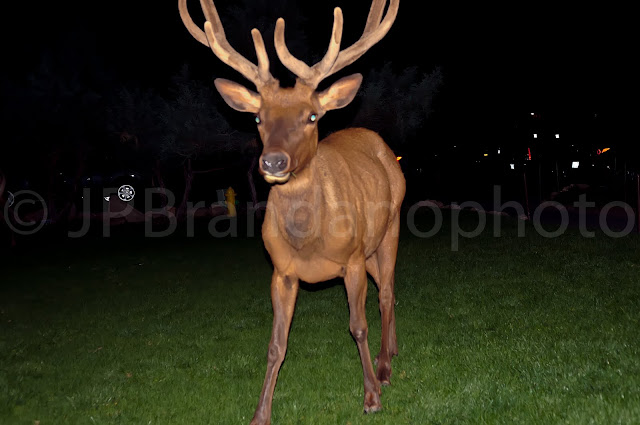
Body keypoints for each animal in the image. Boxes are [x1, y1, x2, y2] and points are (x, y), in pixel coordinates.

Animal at [179, 0, 404, 423]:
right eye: (257, 118)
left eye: (312, 116)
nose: (273, 162)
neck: (309, 240)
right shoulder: (281, 271)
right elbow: (275, 344)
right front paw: (260, 413)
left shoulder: (351, 259)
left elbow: (358, 326)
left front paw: (371, 396)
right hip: (370, 249)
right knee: (390, 289)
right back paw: (394, 348)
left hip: (390, 228)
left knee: (385, 293)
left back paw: (384, 366)